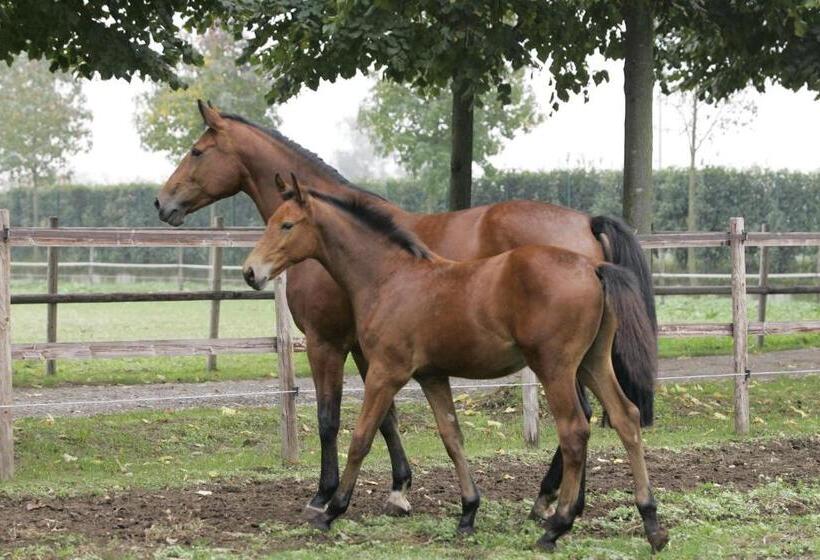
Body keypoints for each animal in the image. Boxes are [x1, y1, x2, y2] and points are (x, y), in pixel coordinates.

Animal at [154, 100, 658, 520]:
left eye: (197, 151)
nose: (162, 202)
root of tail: (586, 225)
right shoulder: (371, 349)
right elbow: (387, 418)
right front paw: (399, 489)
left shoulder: (326, 342)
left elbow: (331, 419)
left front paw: (324, 494)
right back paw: (560, 501)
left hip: (556, 360)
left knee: (582, 418)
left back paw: (551, 501)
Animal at [241, 174, 668, 552]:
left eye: (287, 224)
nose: (250, 271)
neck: (390, 276)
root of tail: (593, 267)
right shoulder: (432, 376)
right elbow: (452, 437)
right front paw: (467, 513)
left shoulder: (386, 371)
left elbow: (361, 437)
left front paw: (331, 509)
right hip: (592, 363)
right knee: (626, 417)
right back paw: (651, 524)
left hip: (556, 368)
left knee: (575, 430)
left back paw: (556, 525)